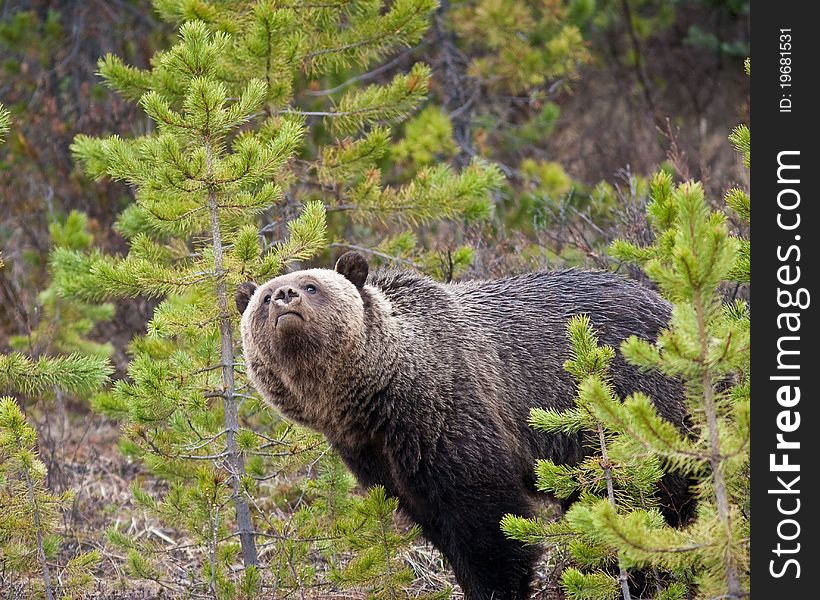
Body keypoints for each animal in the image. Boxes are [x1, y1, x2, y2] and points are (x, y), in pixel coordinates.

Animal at [235, 251, 692, 596]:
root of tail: (670, 307)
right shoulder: (381, 458)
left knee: (662, 493)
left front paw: (498, 586)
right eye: (264, 298)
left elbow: (488, 524)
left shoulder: (449, 416)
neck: (376, 397)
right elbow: (436, 523)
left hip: (637, 397)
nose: (285, 296)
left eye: (313, 285)